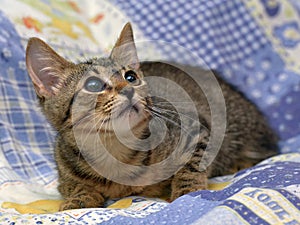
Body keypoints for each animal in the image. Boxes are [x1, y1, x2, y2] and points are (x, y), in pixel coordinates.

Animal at [25, 22, 276, 211]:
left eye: (131, 77)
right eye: (93, 85)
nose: (128, 89)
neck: (114, 152)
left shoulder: (197, 129)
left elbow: (192, 166)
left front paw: (187, 191)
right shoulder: (64, 170)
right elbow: (74, 186)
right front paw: (80, 199)